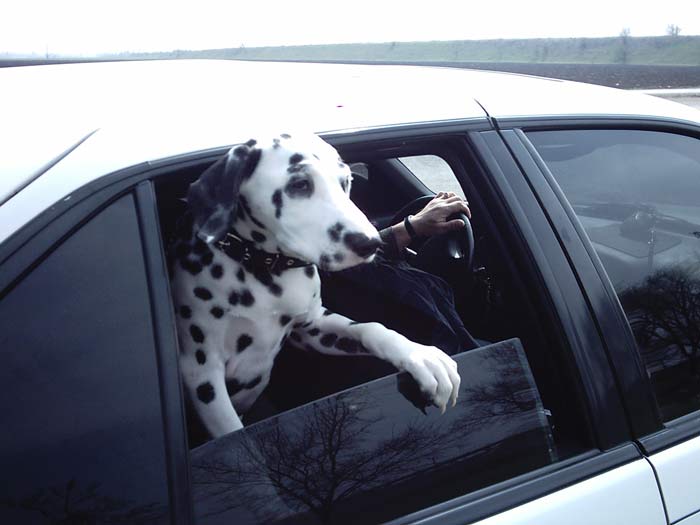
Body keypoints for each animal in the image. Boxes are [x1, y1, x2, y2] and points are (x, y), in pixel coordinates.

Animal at [170, 132, 460, 438]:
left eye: (346, 181)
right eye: (300, 184)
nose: (371, 243)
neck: (263, 269)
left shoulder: (310, 328)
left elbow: (371, 328)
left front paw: (421, 356)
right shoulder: (202, 373)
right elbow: (231, 430)